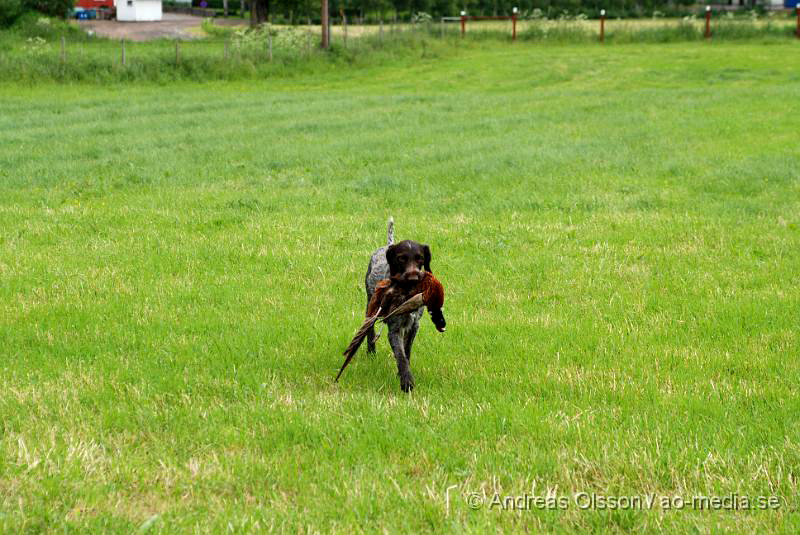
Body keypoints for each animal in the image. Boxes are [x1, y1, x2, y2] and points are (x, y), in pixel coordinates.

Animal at [364, 219, 444, 394]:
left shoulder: (414, 326)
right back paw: (370, 352)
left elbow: (406, 352)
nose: (413, 278)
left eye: (420, 258)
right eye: (401, 258)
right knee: (369, 329)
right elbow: (400, 355)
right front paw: (406, 382)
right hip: (370, 304)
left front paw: (401, 374)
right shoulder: (395, 328)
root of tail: (387, 245)